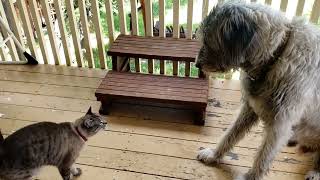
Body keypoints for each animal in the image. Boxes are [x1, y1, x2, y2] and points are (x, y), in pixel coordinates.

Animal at [195, 1, 320, 180]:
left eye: (207, 41)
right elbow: (230, 134)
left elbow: (263, 156)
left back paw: (315, 171)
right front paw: (214, 155)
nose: (197, 64)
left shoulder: (279, 124)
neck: (276, 54)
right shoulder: (250, 108)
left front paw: (250, 177)